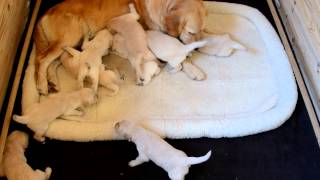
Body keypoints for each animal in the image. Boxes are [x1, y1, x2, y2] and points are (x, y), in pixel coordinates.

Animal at [35, 0, 208, 95]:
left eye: (202, 29)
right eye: (191, 31)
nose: (197, 50)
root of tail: (45, 14)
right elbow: (179, 54)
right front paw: (194, 69)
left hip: (69, 44)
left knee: (54, 61)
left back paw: (53, 81)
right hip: (71, 36)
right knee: (42, 59)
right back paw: (42, 85)